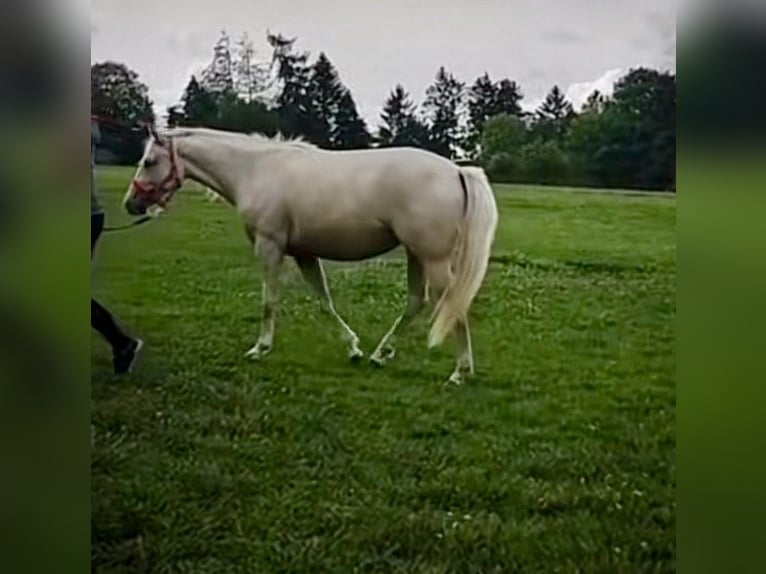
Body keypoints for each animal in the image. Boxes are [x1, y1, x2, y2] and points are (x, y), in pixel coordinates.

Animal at [124, 126, 498, 385]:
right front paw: (353, 348)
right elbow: (323, 301)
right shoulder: (305, 254)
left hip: (433, 259)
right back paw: (380, 355)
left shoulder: (269, 246)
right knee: (415, 302)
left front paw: (260, 348)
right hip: (416, 255)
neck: (256, 170)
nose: (131, 204)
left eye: (149, 161)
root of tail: (456, 170)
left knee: (452, 304)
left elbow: (269, 300)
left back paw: (459, 371)